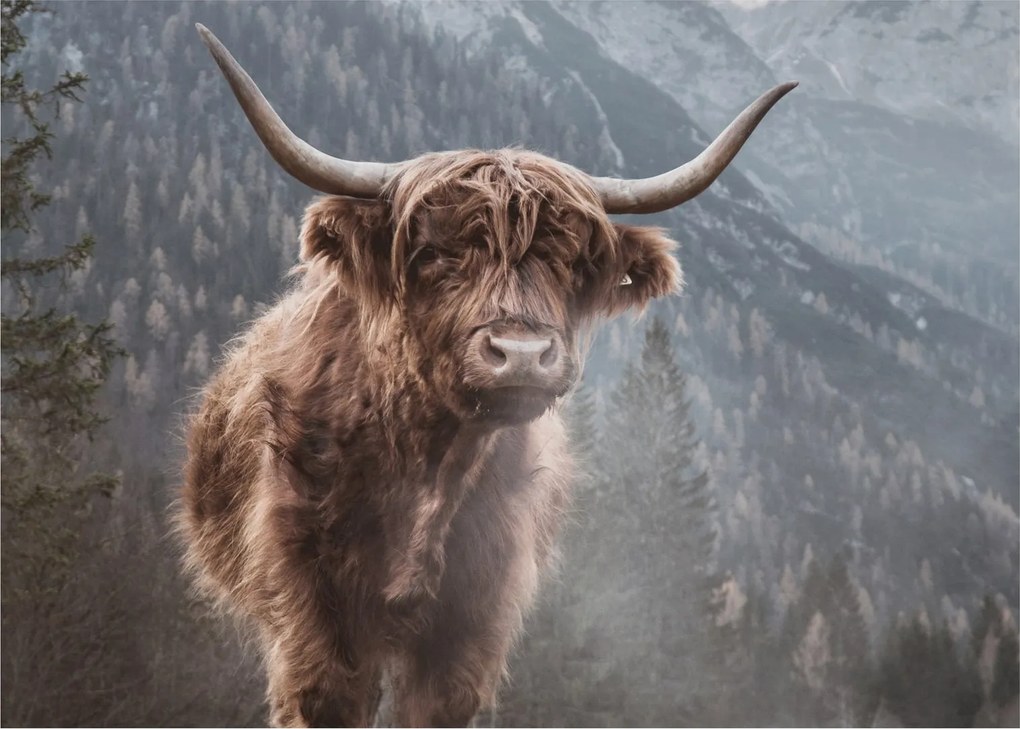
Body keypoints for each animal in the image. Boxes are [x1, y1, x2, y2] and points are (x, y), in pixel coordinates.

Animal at [178, 23, 794, 728]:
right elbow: (327, 697)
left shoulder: (475, 621)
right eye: (434, 254)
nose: (521, 354)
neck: (426, 462)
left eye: (570, 261)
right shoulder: (313, 614)